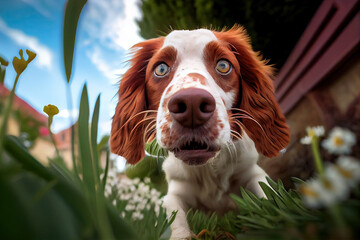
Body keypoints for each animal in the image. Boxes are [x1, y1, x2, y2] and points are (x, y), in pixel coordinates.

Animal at [109, 25, 290, 239]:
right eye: (160, 69)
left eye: (223, 65)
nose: (192, 104)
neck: (208, 169)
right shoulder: (175, 192)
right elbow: (176, 220)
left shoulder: (252, 173)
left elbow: (270, 199)